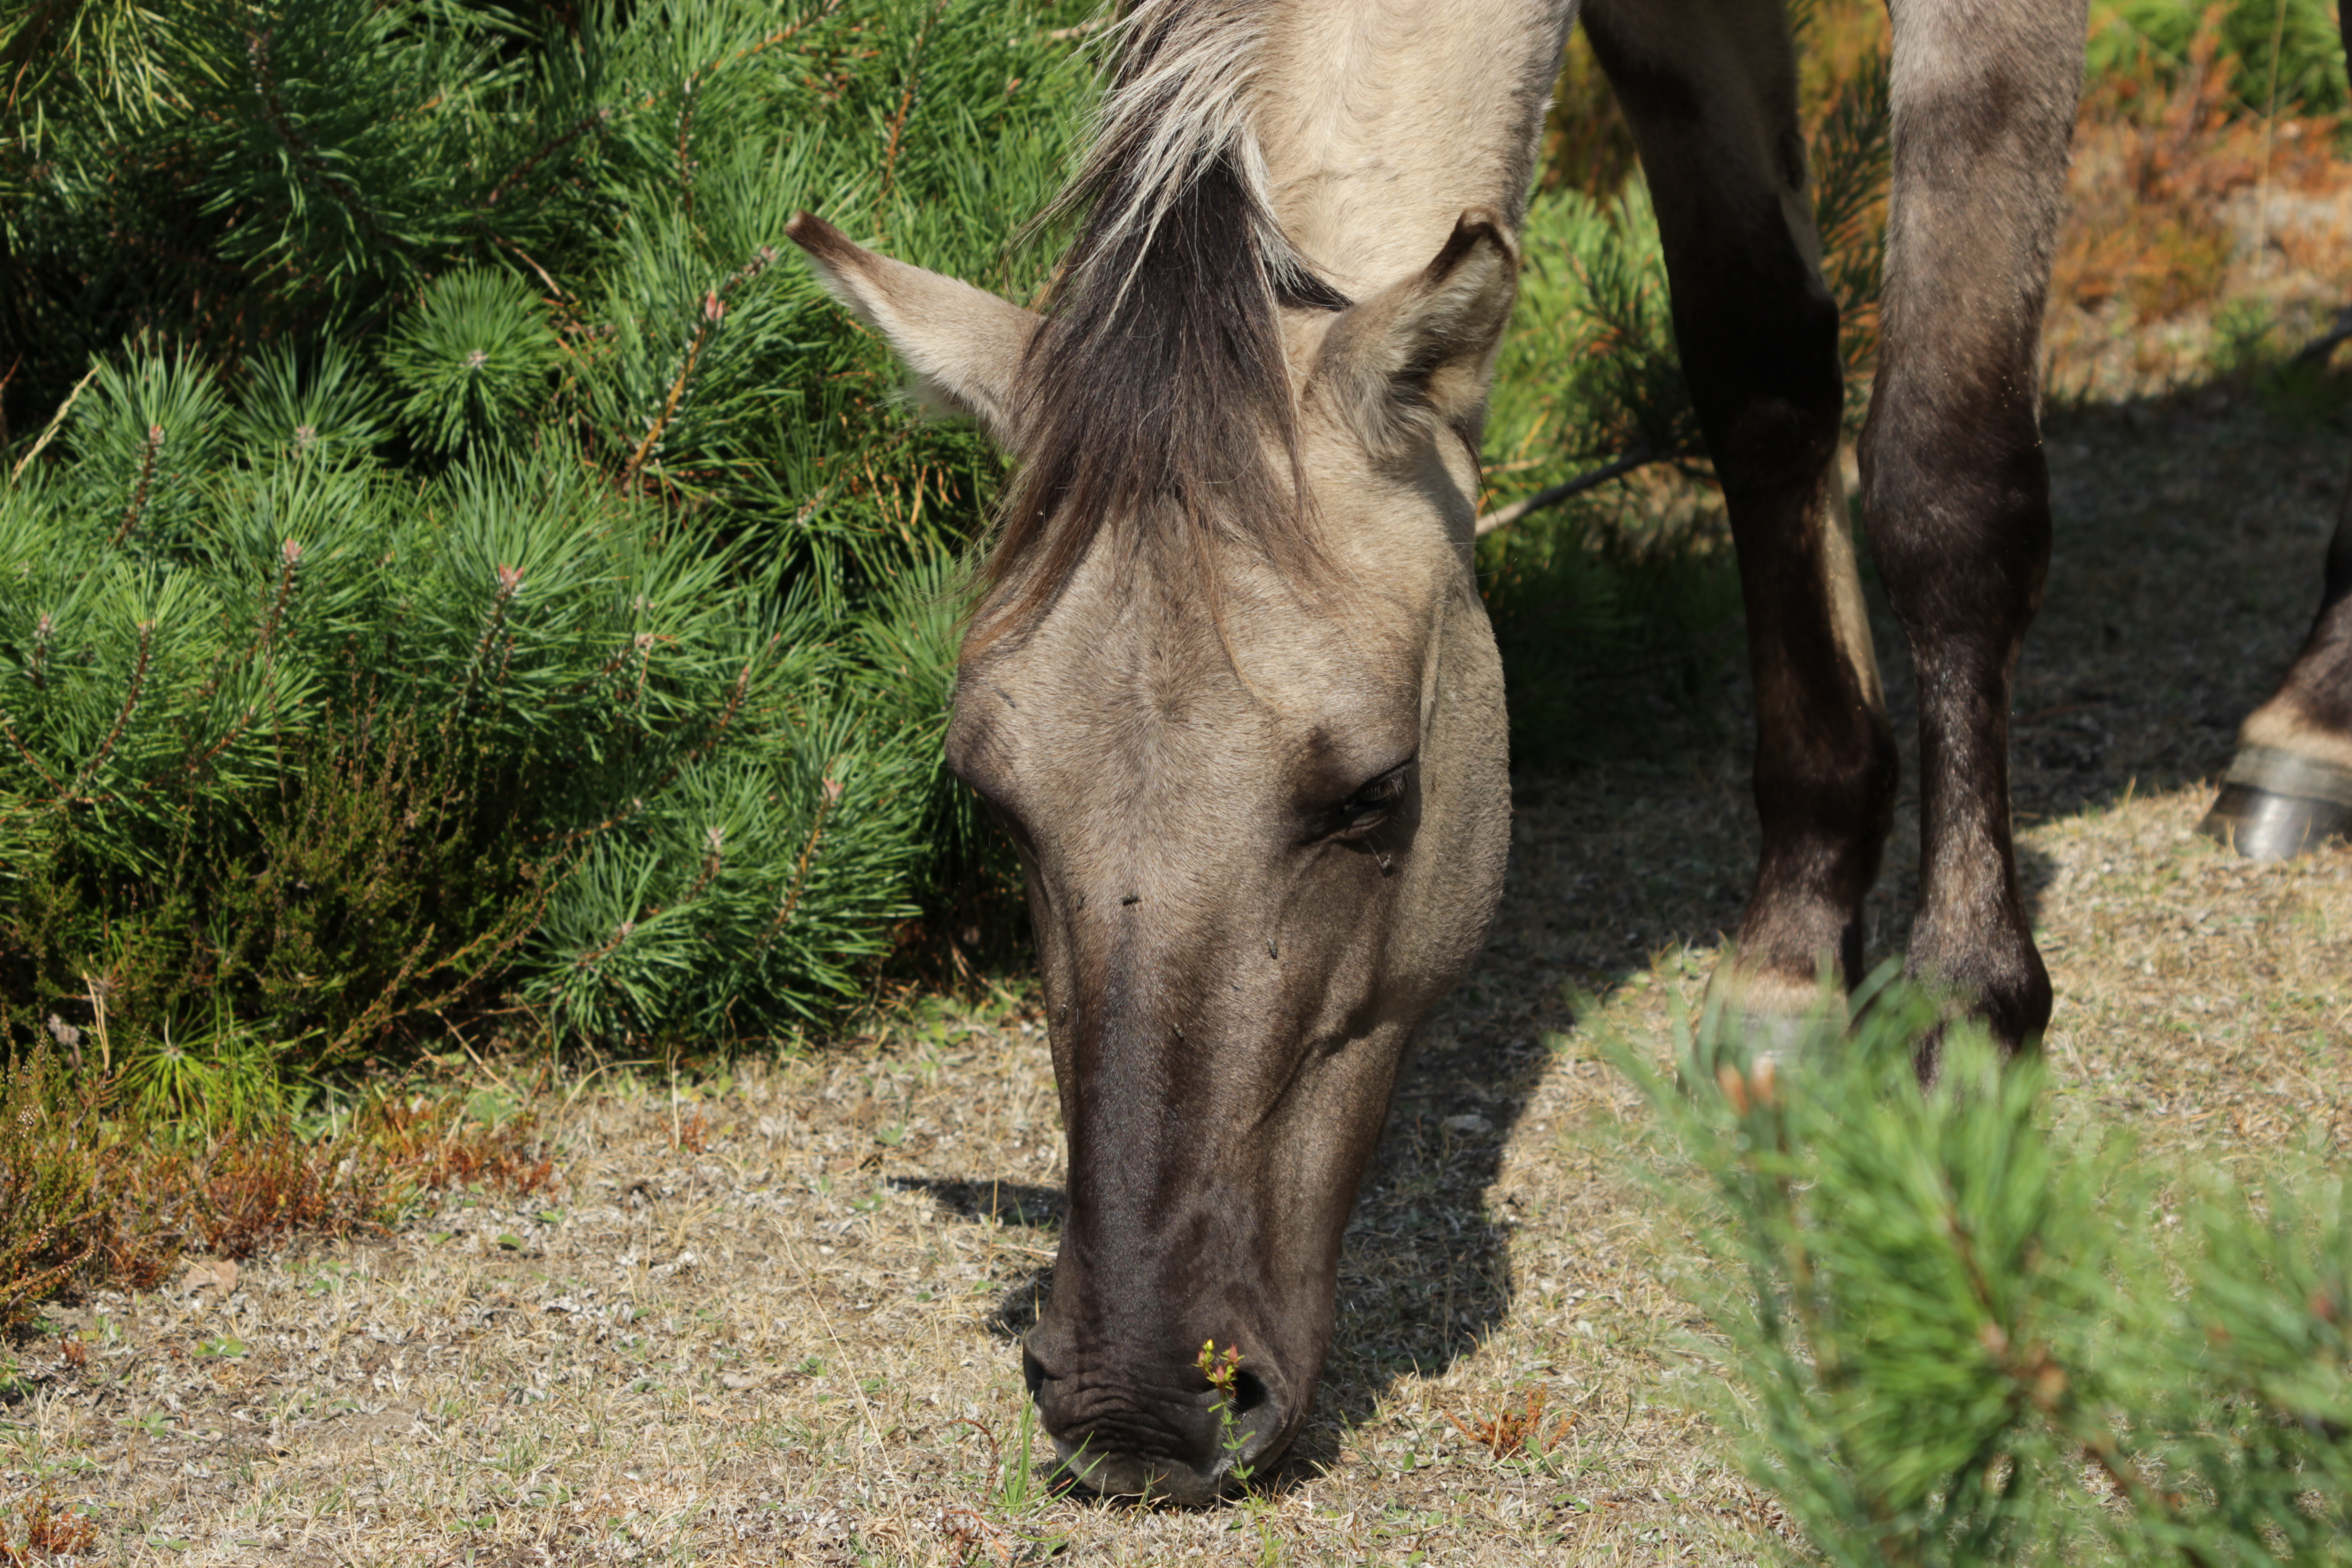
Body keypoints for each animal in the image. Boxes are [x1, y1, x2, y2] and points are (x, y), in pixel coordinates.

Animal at [799, 0, 2342, 1504]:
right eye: (995, 802)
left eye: (1375, 794)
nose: (1138, 1409)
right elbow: (1763, 379)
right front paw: (1794, 946)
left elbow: (1945, 480)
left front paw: (1965, 1020)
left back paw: (2306, 725)